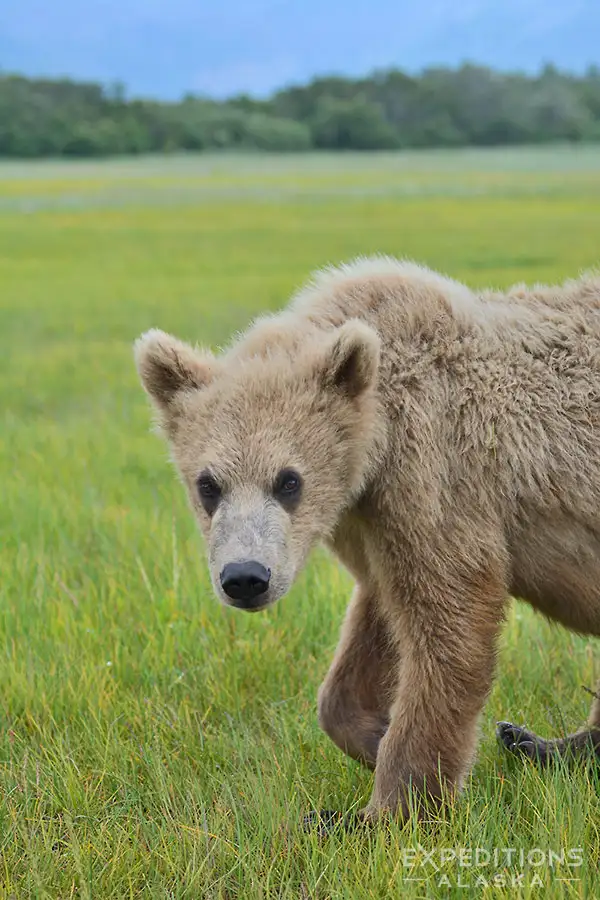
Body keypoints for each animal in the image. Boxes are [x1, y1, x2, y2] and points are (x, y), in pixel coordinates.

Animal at [134, 256, 600, 824]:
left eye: (288, 480)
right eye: (208, 484)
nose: (245, 577)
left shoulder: (436, 475)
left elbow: (449, 623)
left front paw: (376, 810)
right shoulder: (370, 519)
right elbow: (374, 629)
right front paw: (372, 736)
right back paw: (538, 742)